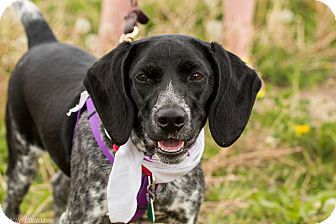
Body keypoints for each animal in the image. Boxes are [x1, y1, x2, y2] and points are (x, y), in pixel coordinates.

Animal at [3, 0, 262, 223]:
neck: (152, 173)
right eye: (142, 77)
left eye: (196, 75)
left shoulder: (184, 215)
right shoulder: (81, 215)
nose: (170, 119)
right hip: (22, 162)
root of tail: (43, 42)